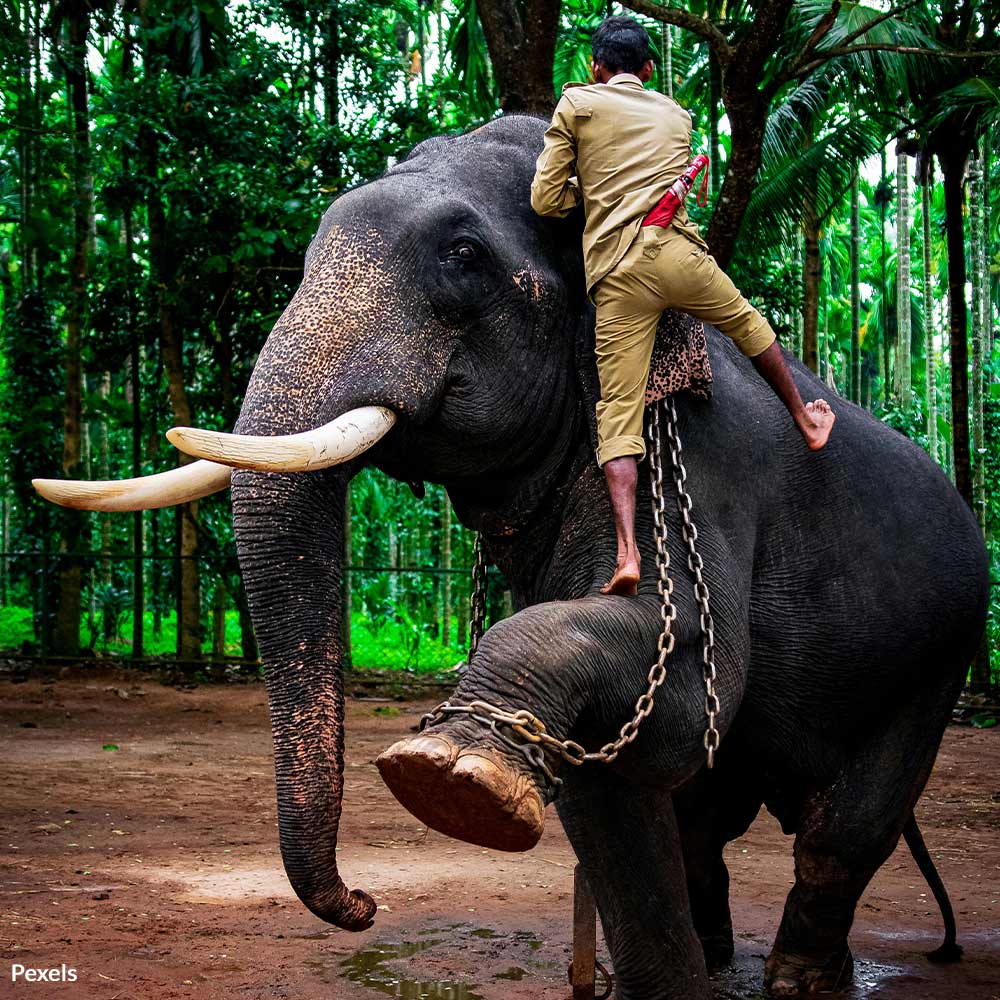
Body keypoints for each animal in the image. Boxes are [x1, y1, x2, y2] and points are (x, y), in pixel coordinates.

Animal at [34, 114, 989, 1000]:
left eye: (462, 256)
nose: (364, 905)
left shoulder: (694, 450)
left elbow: (686, 681)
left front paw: (449, 776)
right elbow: (619, 782)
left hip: (938, 656)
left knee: (843, 829)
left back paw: (800, 979)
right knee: (706, 819)